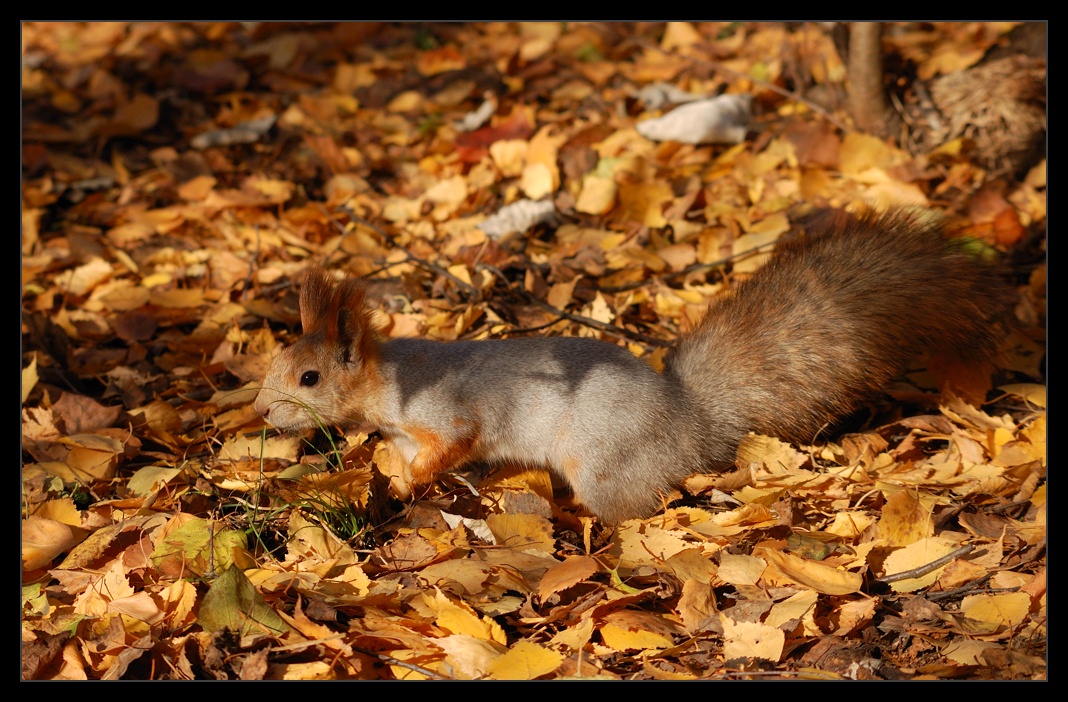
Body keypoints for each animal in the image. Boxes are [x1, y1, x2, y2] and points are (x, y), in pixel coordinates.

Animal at [254, 205, 1012, 523]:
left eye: (310, 377)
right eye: (278, 362)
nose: (260, 412)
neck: (393, 385)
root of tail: (691, 423)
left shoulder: (448, 412)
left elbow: (458, 442)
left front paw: (417, 483)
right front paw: (397, 477)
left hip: (604, 462)